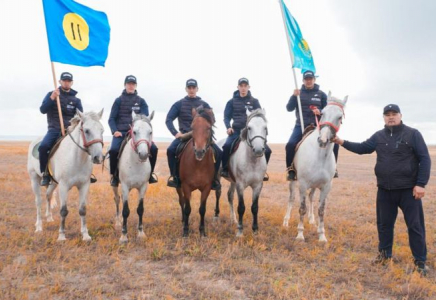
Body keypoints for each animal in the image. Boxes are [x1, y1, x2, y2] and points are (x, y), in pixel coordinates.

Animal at [27, 109, 104, 240]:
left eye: (102, 130)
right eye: (87, 130)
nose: (98, 157)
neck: (77, 159)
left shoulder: (84, 185)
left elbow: (83, 210)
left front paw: (85, 235)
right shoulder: (63, 186)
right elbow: (63, 211)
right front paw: (62, 236)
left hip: (53, 183)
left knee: (48, 195)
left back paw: (49, 218)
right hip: (34, 179)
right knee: (38, 201)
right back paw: (39, 227)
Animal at [112, 111, 155, 243]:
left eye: (150, 132)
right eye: (134, 132)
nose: (143, 154)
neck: (136, 163)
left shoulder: (143, 187)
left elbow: (140, 209)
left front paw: (140, 233)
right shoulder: (125, 186)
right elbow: (126, 211)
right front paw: (124, 236)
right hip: (116, 186)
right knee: (117, 199)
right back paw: (118, 222)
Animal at [176, 105, 215, 237]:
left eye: (208, 128)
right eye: (192, 127)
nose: (199, 151)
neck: (198, 165)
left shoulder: (207, 187)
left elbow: (202, 209)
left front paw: (202, 231)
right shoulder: (186, 186)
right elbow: (187, 208)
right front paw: (185, 231)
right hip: (178, 187)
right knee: (181, 201)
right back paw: (183, 221)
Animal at [282, 93, 348, 241]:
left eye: (340, 117)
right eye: (322, 113)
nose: (322, 140)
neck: (320, 156)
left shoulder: (326, 187)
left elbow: (321, 210)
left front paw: (322, 235)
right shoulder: (302, 184)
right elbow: (302, 208)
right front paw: (300, 234)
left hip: (314, 185)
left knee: (311, 197)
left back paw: (312, 220)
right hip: (293, 182)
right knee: (291, 199)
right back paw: (286, 221)